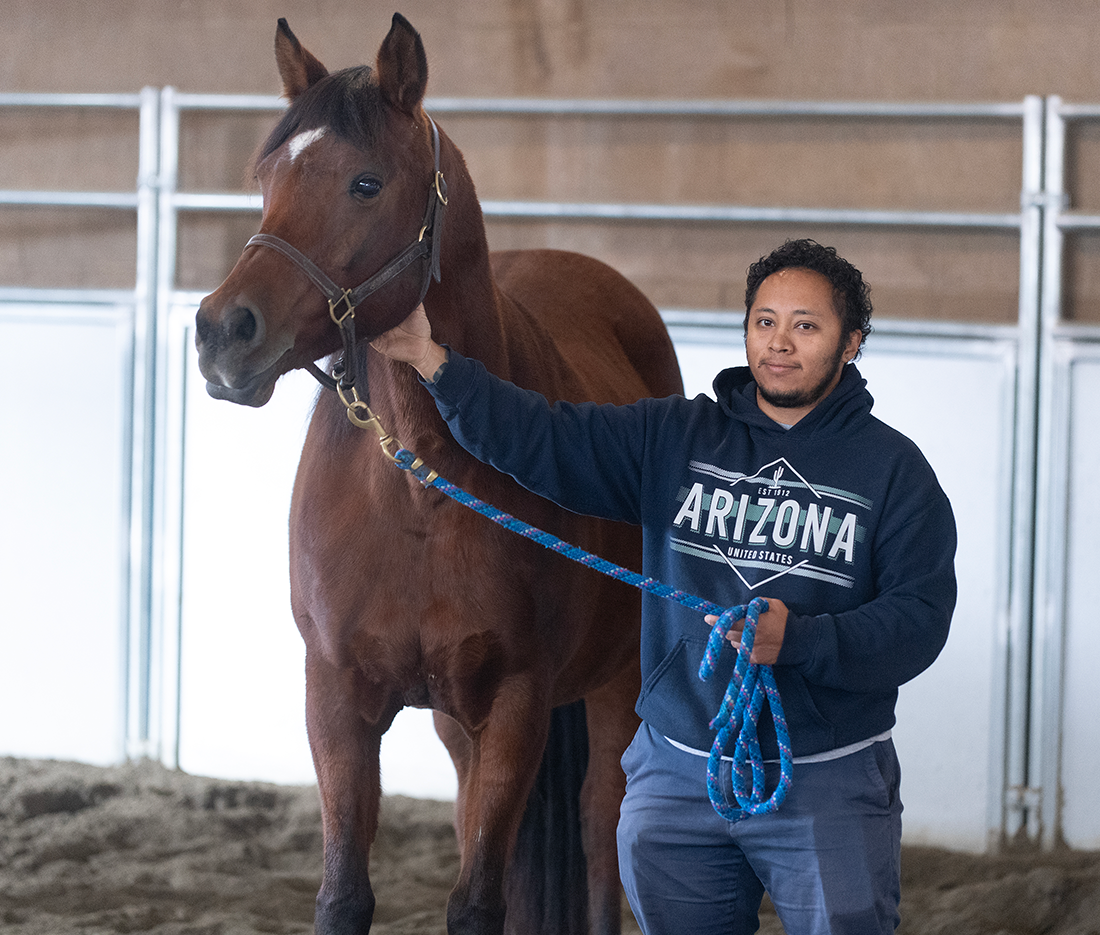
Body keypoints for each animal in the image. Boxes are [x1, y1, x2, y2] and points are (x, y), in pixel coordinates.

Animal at [195, 12, 683, 935]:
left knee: (601, 828)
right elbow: (345, 893)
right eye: (265, 175)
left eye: (366, 182)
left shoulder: (520, 701)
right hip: (460, 725)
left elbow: (479, 900)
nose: (221, 331)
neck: (418, 487)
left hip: (613, 686)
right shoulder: (337, 696)